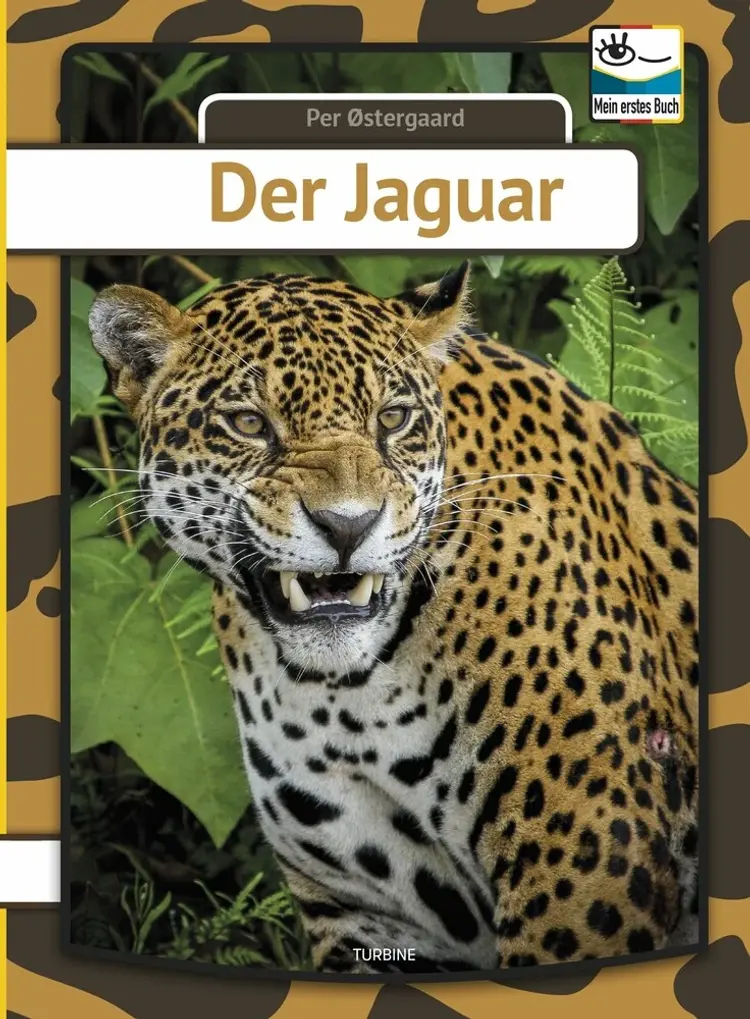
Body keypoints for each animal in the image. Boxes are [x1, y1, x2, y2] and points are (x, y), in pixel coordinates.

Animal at [88, 263, 700, 976]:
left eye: (393, 417)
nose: (347, 525)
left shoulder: (590, 858)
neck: (349, 699)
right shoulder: (365, 911)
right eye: (247, 422)